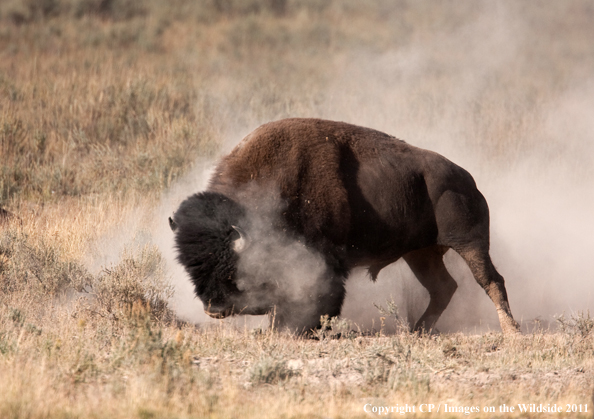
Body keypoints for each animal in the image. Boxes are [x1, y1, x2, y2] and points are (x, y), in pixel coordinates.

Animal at [170, 118, 520, 334]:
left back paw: (511, 332)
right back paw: (418, 331)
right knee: (443, 287)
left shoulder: (324, 261)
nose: (213, 309)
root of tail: (467, 180)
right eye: (189, 267)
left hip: (469, 243)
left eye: (231, 267)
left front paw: (296, 328)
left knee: (491, 281)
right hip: (421, 253)